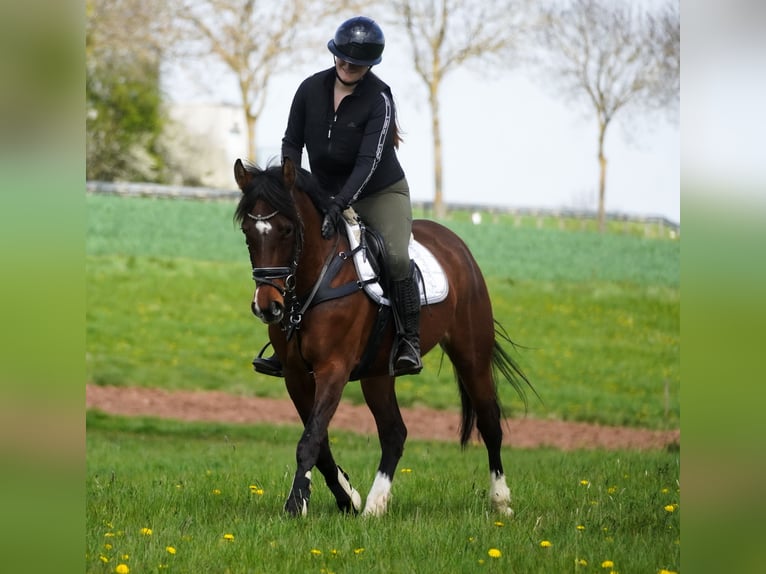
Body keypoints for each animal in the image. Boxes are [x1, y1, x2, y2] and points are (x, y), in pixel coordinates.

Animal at [233, 158, 534, 517]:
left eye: (287, 230)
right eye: (247, 233)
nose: (267, 307)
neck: (316, 279)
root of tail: (455, 244)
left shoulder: (333, 369)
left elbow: (310, 439)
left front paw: (296, 504)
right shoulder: (295, 375)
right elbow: (320, 440)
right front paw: (348, 497)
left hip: (471, 354)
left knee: (489, 421)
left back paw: (501, 501)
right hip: (377, 374)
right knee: (394, 432)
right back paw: (375, 505)